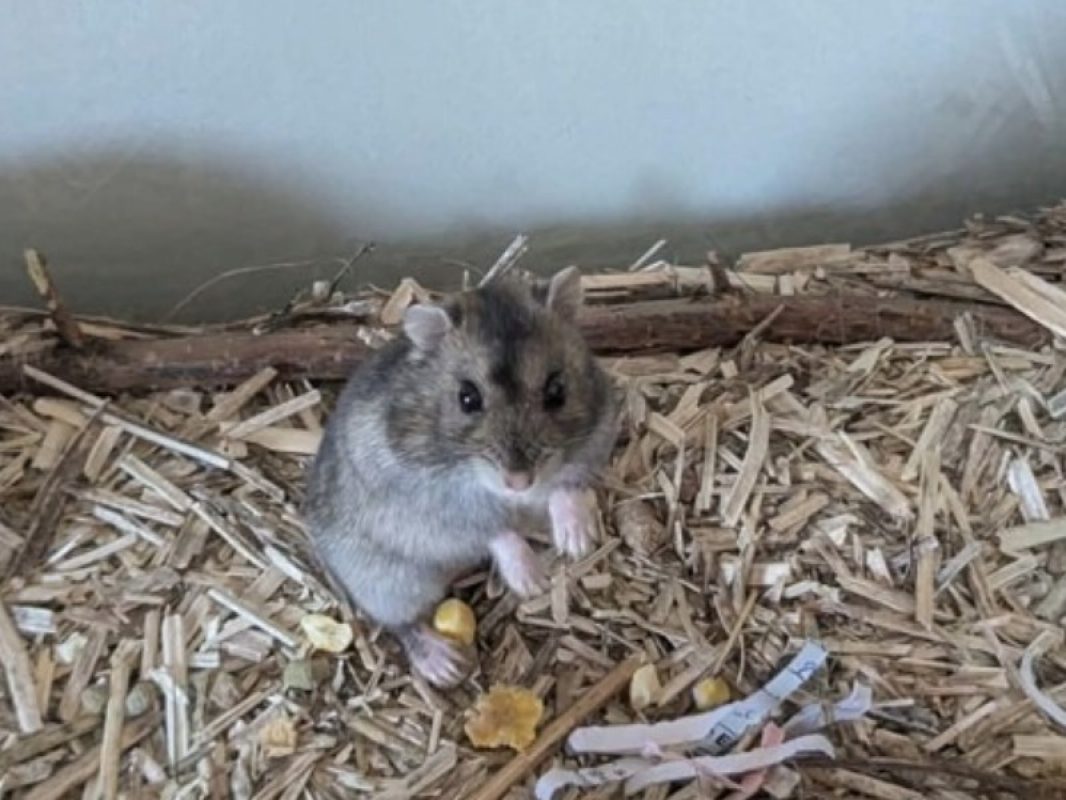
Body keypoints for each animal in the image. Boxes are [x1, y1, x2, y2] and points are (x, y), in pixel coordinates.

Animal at [304, 266, 619, 687]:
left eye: (557, 390)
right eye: (467, 398)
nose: (520, 483)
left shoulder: (595, 442)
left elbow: (564, 487)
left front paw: (578, 543)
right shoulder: (444, 505)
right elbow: (497, 531)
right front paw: (532, 581)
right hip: (388, 583)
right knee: (400, 625)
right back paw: (446, 665)